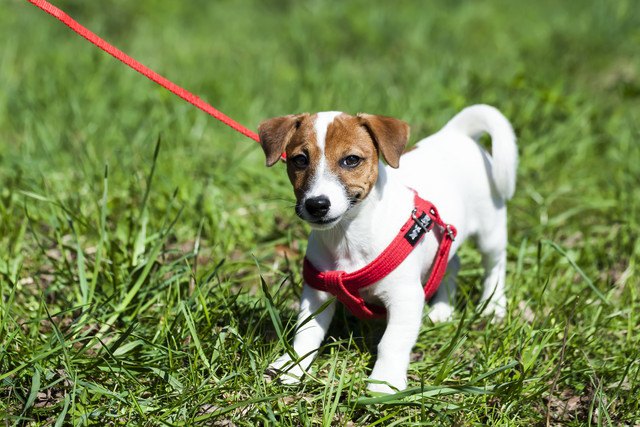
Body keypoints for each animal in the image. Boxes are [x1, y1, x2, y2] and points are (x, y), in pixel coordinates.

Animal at [258, 105, 516, 392]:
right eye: (300, 160)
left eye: (351, 160)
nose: (317, 204)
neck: (347, 237)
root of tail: (456, 133)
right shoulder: (317, 293)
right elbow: (306, 333)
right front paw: (293, 365)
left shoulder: (405, 297)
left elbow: (392, 342)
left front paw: (385, 382)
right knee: (452, 263)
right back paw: (442, 308)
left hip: (490, 233)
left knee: (495, 267)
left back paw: (494, 306)